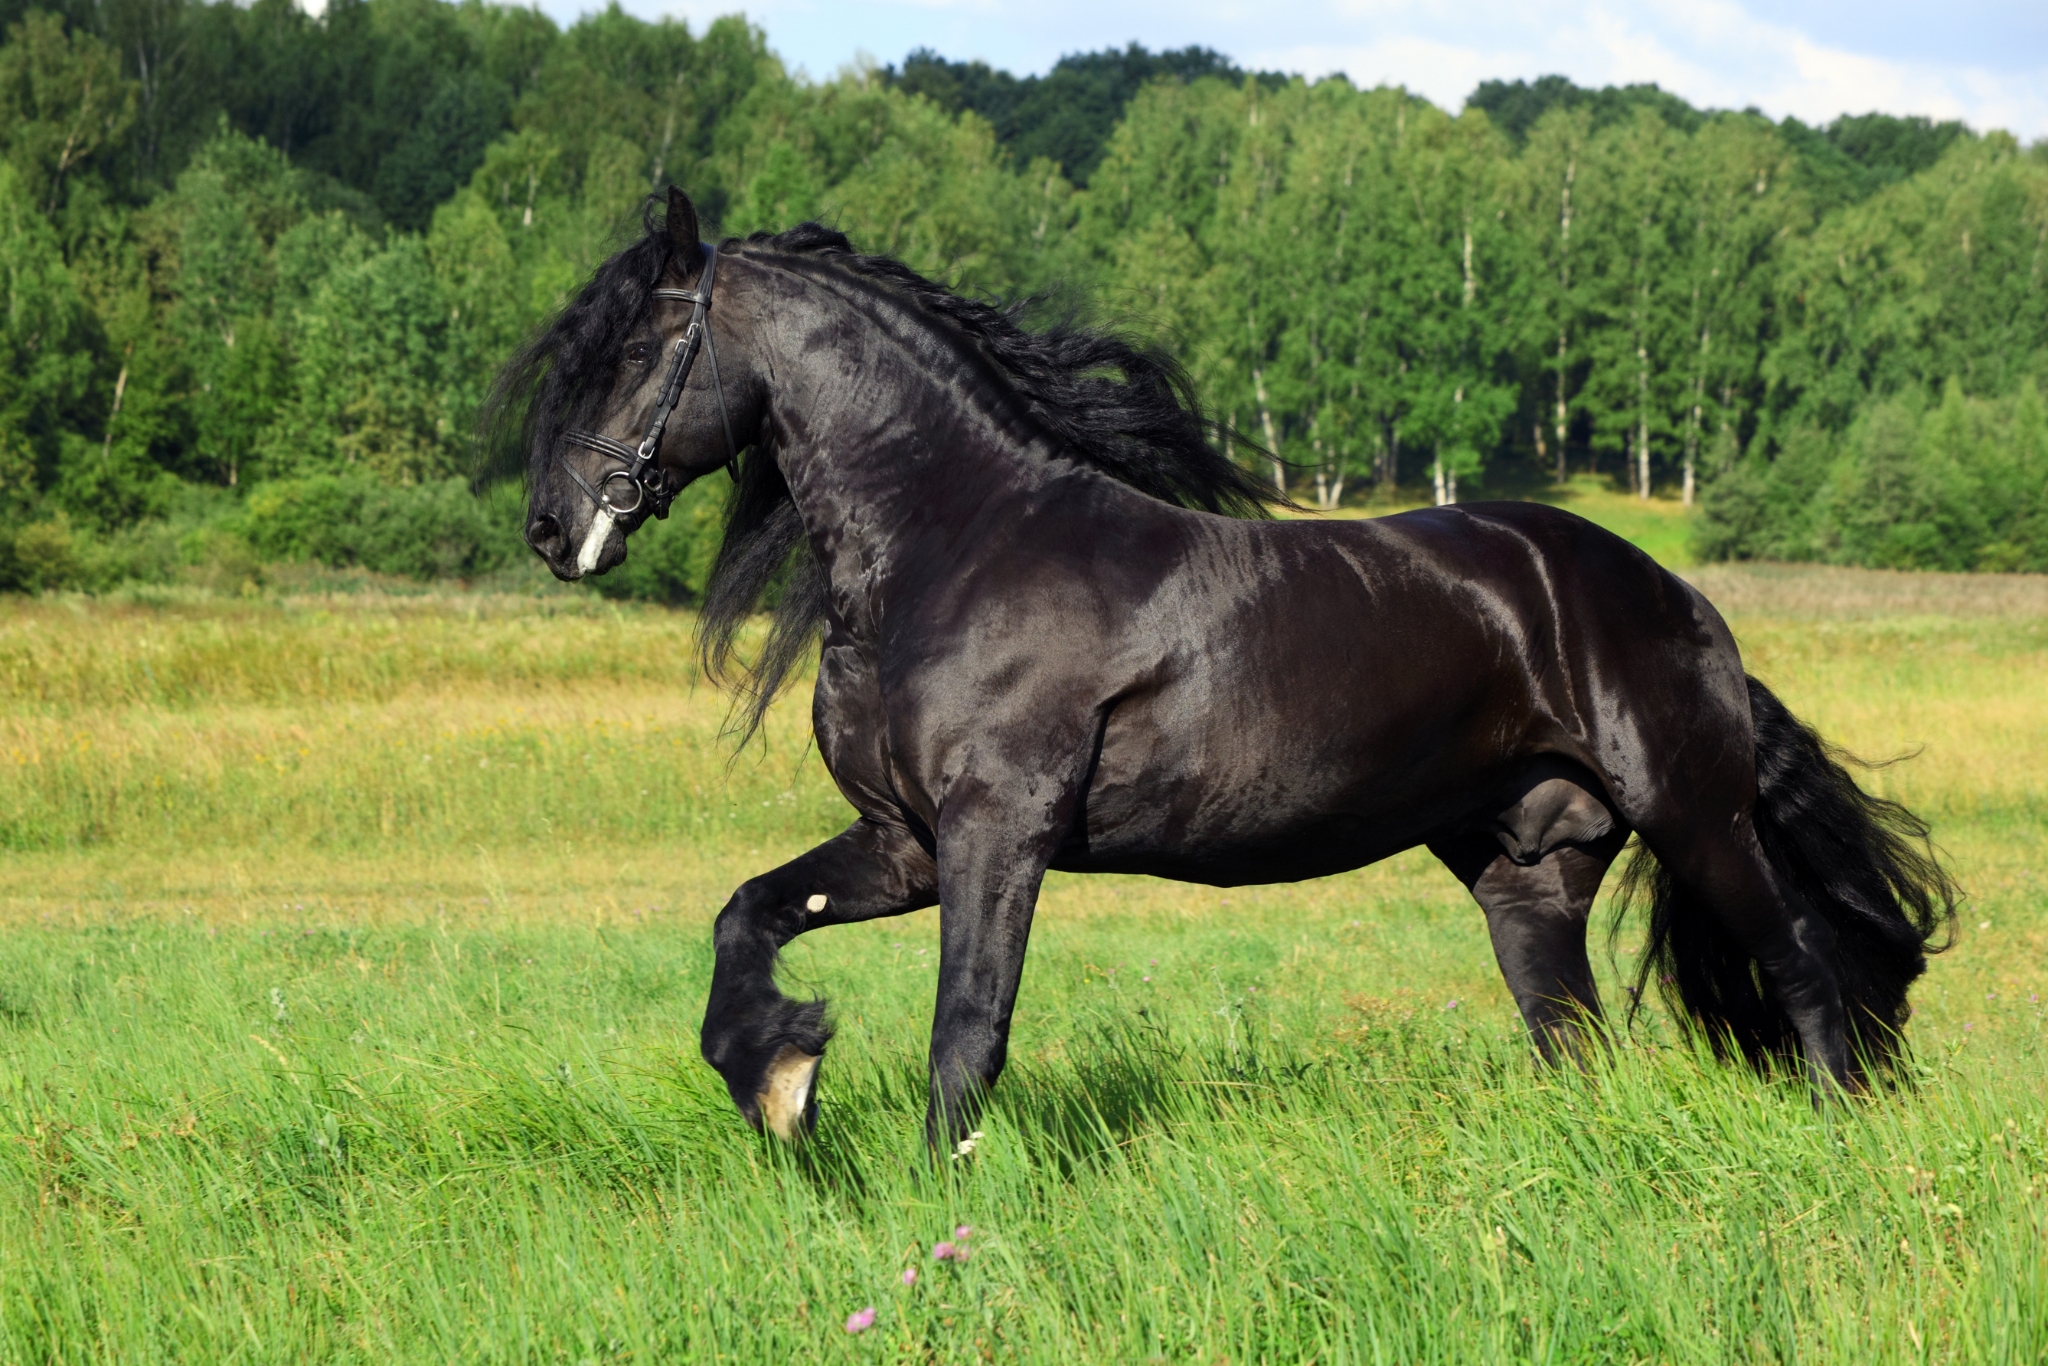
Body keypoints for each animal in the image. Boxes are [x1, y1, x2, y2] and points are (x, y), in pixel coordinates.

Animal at [494, 187, 1956, 1150]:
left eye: (637, 348)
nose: (552, 528)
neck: (956, 541)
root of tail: (1678, 600)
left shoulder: (995, 833)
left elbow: (967, 1035)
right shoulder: (902, 840)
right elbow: (747, 915)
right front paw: (779, 1082)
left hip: (1694, 816)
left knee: (1807, 971)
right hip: (1525, 870)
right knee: (1574, 1039)